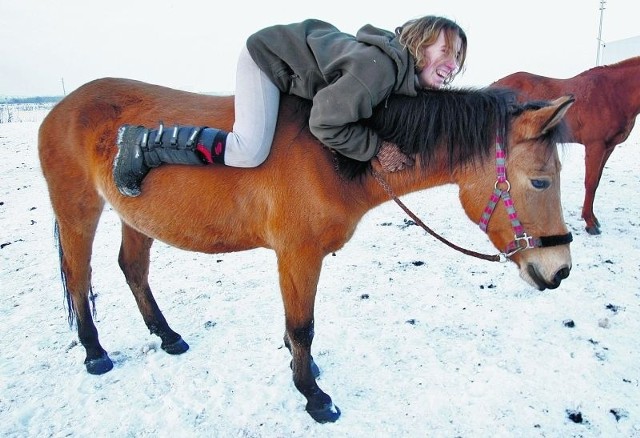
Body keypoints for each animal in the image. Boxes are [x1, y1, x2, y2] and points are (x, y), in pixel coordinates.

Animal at [37, 77, 572, 422]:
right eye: (540, 181)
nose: (560, 270)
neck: (336, 158)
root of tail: (60, 109)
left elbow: (296, 329)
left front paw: (303, 370)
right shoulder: (297, 255)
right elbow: (303, 327)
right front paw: (314, 396)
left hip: (135, 216)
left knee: (133, 269)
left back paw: (167, 336)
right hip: (78, 208)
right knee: (80, 275)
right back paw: (94, 351)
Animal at [490, 57, 640, 236]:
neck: (613, 94)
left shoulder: (609, 147)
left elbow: (596, 182)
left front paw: (593, 218)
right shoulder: (595, 146)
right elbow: (590, 183)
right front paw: (590, 223)